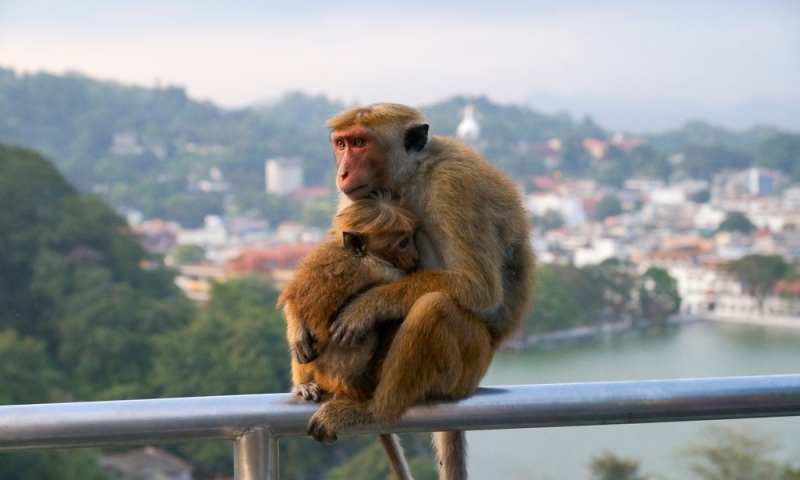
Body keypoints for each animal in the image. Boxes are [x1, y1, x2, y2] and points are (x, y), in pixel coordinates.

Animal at [306, 103, 536, 478]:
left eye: (360, 143)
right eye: (340, 144)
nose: (342, 172)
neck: (410, 175)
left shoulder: (452, 187)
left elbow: (478, 285)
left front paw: (365, 307)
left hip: (468, 366)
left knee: (436, 307)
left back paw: (376, 411)